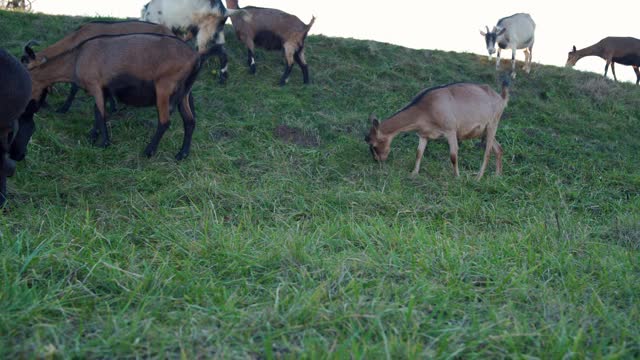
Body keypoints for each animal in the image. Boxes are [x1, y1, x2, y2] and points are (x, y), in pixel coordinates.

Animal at [21, 20, 175, 113]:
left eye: (29, 70)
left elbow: (74, 87)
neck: (79, 37)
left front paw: (63, 109)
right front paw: (112, 107)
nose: (39, 106)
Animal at [23, 33, 204, 160]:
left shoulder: (95, 85)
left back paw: (149, 151)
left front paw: (103, 143)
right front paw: (92, 136)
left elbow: (101, 113)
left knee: (165, 122)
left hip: (164, 88)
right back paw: (182, 154)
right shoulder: (103, 90)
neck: (76, 59)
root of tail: (195, 58)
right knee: (189, 121)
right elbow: (97, 111)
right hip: (184, 93)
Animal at [364, 80, 510, 179]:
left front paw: (457, 177)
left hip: (493, 124)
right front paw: (414, 173)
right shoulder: (423, 134)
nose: (377, 161)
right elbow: (418, 153)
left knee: (487, 152)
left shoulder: (451, 130)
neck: (426, 108)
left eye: (374, 145)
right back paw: (497, 176)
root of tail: (501, 98)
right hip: (484, 131)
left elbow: (453, 155)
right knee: (498, 148)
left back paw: (478, 177)